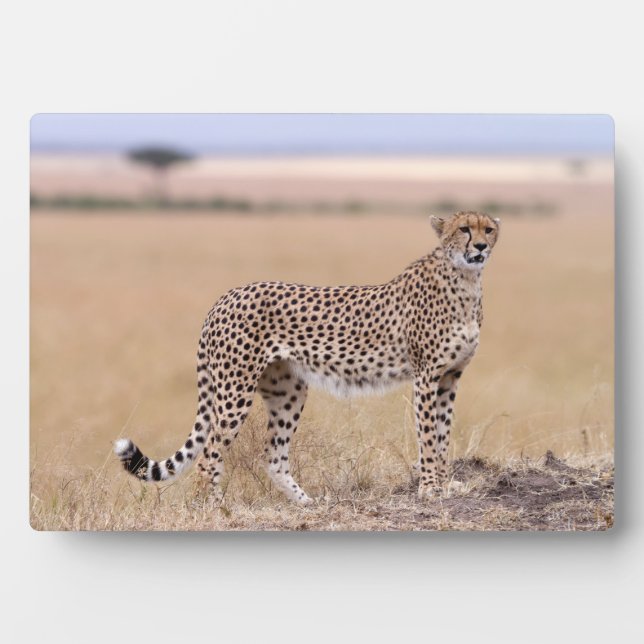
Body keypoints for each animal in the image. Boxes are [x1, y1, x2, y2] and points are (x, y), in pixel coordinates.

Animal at [114, 211, 500, 504]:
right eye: (464, 229)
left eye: (489, 229)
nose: (480, 247)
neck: (465, 281)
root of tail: (226, 296)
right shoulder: (426, 377)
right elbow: (429, 436)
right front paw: (431, 489)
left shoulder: (450, 377)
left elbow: (444, 433)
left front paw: (446, 483)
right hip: (235, 390)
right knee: (209, 454)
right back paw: (211, 507)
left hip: (288, 390)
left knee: (273, 456)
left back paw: (305, 503)